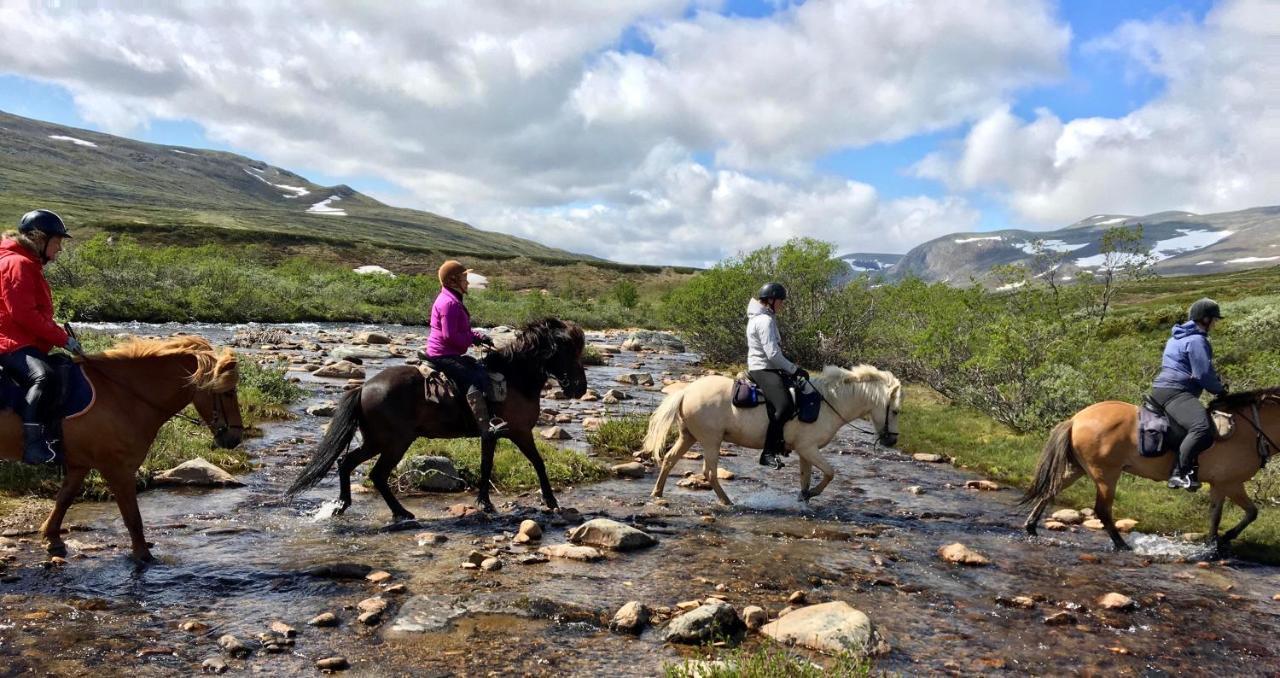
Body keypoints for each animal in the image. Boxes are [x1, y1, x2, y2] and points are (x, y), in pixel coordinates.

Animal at [0, 335, 243, 562]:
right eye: (229, 392)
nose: (236, 437)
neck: (121, 394)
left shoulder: (80, 464)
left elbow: (64, 500)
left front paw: (52, 539)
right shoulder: (119, 470)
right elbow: (133, 518)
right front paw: (144, 557)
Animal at [288, 317, 586, 516]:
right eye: (568, 351)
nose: (579, 389)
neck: (514, 380)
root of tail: (364, 388)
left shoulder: (496, 435)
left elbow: (491, 465)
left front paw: (486, 502)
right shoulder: (517, 432)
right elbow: (534, 463)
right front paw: (549, 501)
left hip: (376, 441)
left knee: (346, 463)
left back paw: (343, 505)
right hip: (394, 442)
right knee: (377, 474)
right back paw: (401, 513)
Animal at [640, 363, 901, 501]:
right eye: (896, 411)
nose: (891, 441)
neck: (829, 403)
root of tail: (686, 391)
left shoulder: (805, 451)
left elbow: (806, 478)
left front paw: (804, 498)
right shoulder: (809, 448)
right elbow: (830, 473)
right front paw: (812, 494)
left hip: (689, 436)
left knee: (669, 459)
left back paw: (657, 492)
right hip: (711, 440)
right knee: (709, 472)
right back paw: (727, 502)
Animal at [1018, 388, 1280, 552]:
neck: (1249, 431)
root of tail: (1075, 419)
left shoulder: (1220, 485)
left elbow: (1220, 516)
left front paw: (1214, 544)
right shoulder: (1230, 483)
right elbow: (1248, 513)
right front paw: (1221, 542)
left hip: (1078, 469)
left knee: (1051, 490)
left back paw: (1031, 526)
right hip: (1106, 474)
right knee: (1102, 510)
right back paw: (1122, 545)